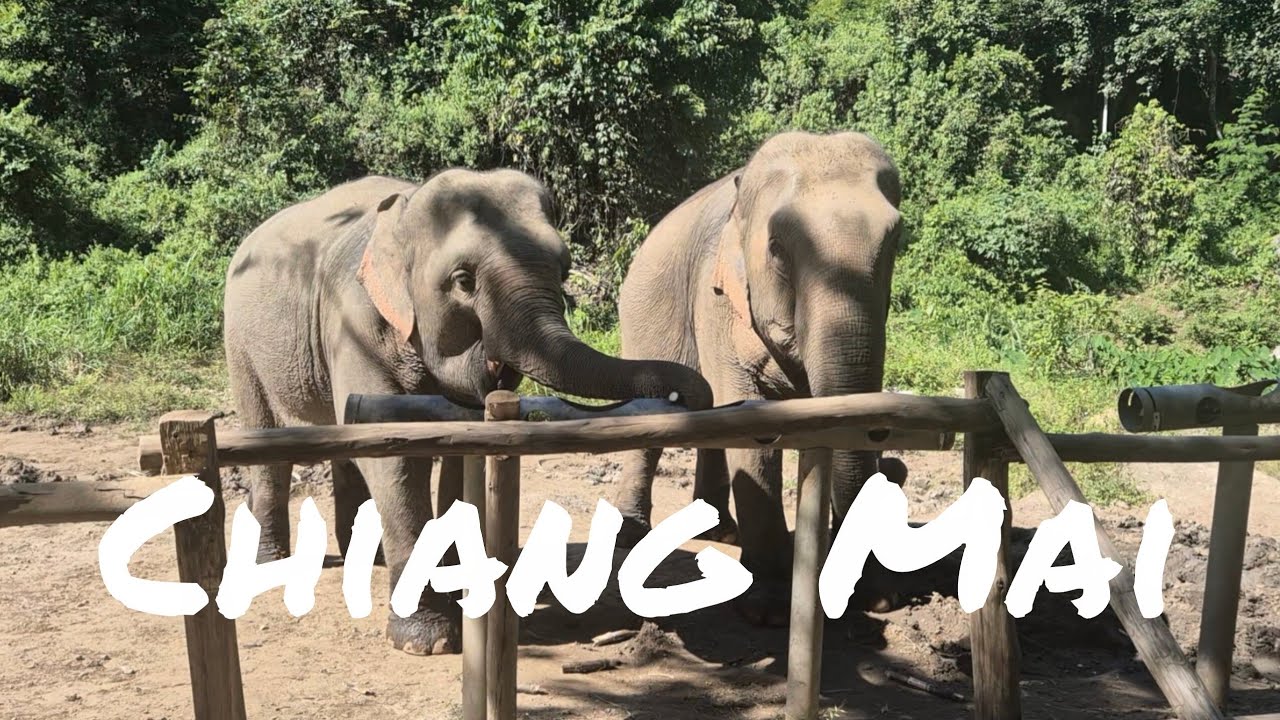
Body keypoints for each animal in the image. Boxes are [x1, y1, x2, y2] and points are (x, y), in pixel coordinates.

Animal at [223, 168, 713, 655]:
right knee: (267, 440)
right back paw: (268, 562)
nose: (684, 396)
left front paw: (461, 592)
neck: (407, 207)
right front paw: (428, 641)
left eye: (564, 267)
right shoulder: (352, 325)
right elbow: (393, 454)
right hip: (241, 345)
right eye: (462, 280)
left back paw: (371, 557)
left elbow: (459, 447)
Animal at [610, 131, 908, 625]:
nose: (896, 466)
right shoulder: (717, 299)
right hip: (645, 315)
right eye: (777, 250)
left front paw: (875, 597)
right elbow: (754, 426)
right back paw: (632, 535)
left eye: (894, 243)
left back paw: (721, 532)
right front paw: (767, 609)